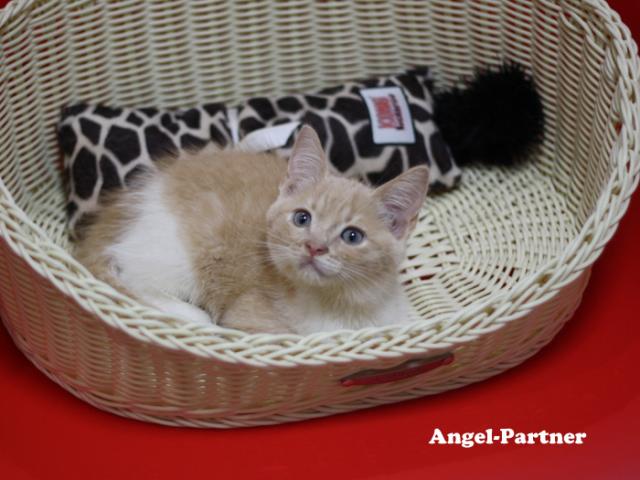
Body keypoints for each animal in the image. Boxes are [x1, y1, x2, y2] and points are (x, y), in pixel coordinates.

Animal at [74, 126, 429, 334]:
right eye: (302, 218)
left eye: (352, 236)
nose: (314, 247)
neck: (341, 304)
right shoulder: (251, 317)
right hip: (175, 252)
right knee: (134, 279)